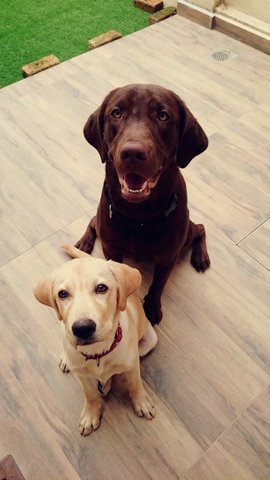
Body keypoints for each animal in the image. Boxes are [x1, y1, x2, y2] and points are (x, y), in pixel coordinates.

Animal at [33, 246, 157, 436]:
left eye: (101, 288)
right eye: (62, 294)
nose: (82, 328)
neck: (98, 352)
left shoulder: (132, 365)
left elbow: (135, 384)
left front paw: (141, 402)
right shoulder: (83, 376)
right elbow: (90, 394)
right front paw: (91, 415)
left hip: (150, 340)